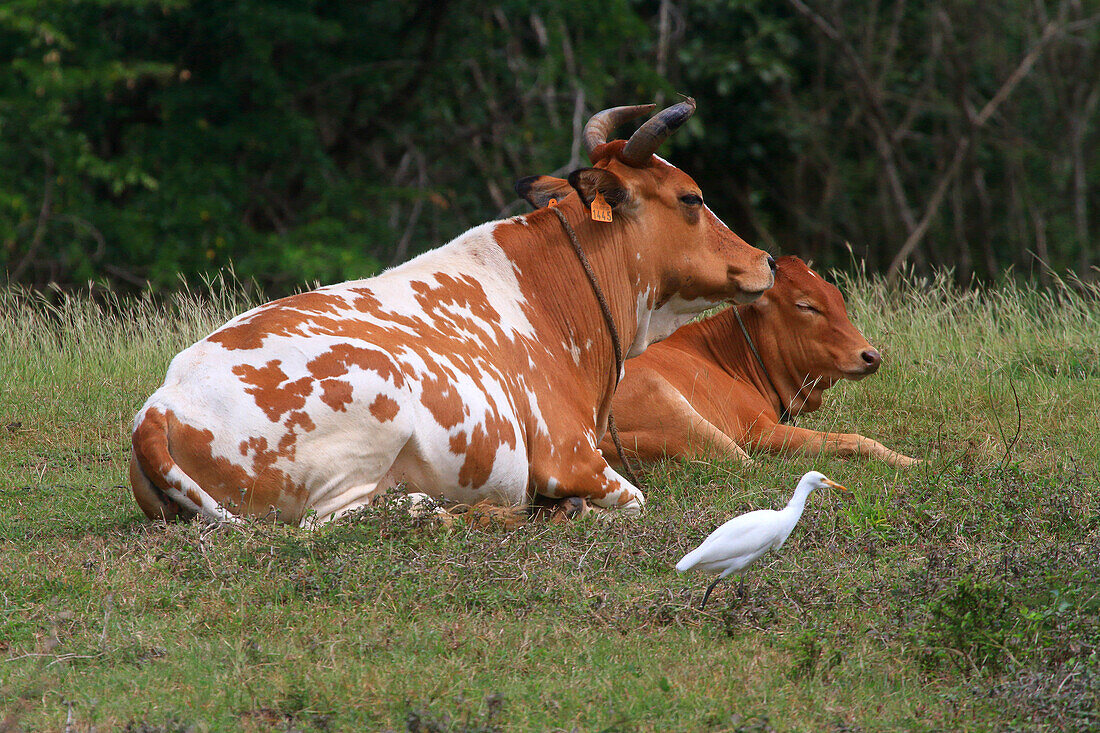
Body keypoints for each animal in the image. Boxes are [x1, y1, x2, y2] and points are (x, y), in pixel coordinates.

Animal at [602, 254, 919, 464]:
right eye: (805, 306)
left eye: (838, 299)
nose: (871, 356)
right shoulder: (758, 431)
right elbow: (854, 440)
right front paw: (914, 461)